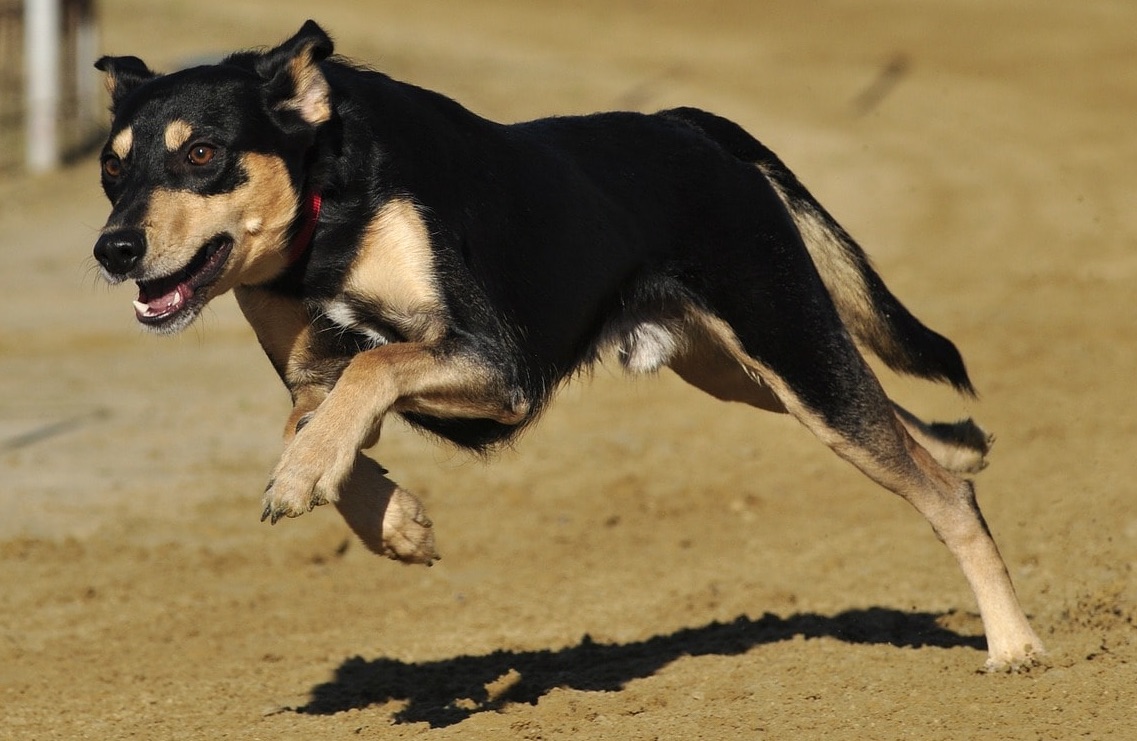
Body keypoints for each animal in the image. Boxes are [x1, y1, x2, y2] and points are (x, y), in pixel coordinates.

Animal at [90, 21, 1041, 672]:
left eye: (203, 153)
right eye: (111, 166)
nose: (113, 250)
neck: (328, 214)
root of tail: (688, 122)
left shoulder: (497, 364)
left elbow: (373, 364)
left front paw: (306, 483)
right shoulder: (312, 374)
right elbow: (318, 415)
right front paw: (392, 521)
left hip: (789, 345)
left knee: (942, 495)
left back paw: (1014, 644)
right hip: (741, 368)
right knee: (918, 440)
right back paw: (964, 445)